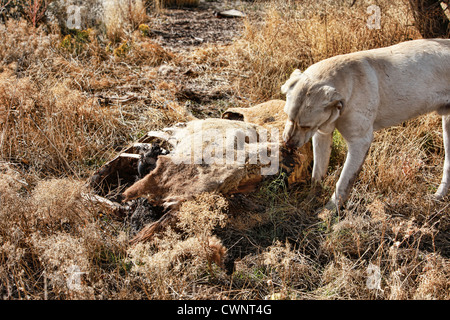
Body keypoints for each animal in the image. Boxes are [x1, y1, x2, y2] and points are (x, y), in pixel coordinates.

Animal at [282, 38, 450, 210]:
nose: (287, 144)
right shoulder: (322, 134)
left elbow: (342, 184)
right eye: (288, 116)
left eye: (305, 126)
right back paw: (438, 197)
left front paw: (329, 211)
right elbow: (317, 175)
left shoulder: (360, 142)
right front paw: (310, 202)